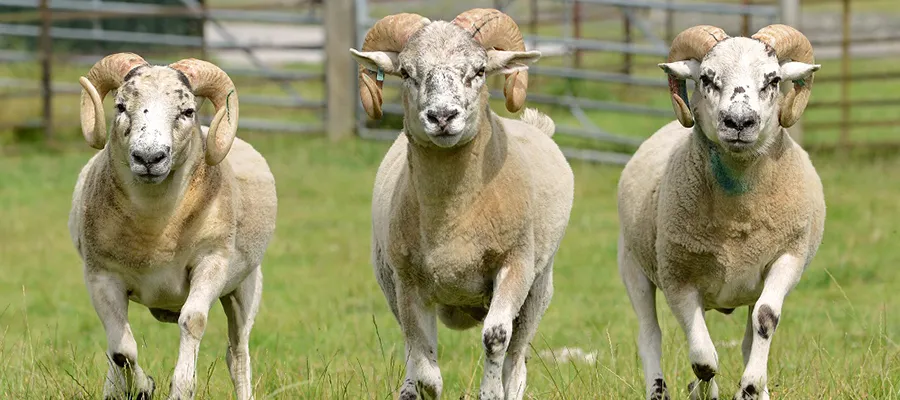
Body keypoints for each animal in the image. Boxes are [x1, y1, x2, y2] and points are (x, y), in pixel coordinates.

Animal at [68, 53, 277, 400]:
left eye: (187, 111)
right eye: (121, 106)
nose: (149, 157)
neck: (156, 230)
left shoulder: (211, 262)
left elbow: (192, 322)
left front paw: (180, 389)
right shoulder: (101, 277)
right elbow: (122, 349)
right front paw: (143, 386)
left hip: (245, 287)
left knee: (237, 354)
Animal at [350, 9, 573, 400]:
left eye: (479, 70)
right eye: (406, 73)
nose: (442, 117)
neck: (454, 219)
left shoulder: (515, 265)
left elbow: (496, 338)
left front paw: (490, 392)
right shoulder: (408, 283)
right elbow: (423, 363)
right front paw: (423, 386)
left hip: (539, 287)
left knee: (517, 361)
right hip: (387, 279)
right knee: (410, 346)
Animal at [617, 25, 825, 400]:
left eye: (773, 80)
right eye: (706, 78)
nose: (739, 122)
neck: (738, 216)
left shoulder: (788, 256)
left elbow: (765, 320)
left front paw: (751, 386)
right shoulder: (677, 276)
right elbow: (703, 358)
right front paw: (702, 389)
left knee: (747, 338)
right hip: (632, 264)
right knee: (650, 334)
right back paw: (662, 390)